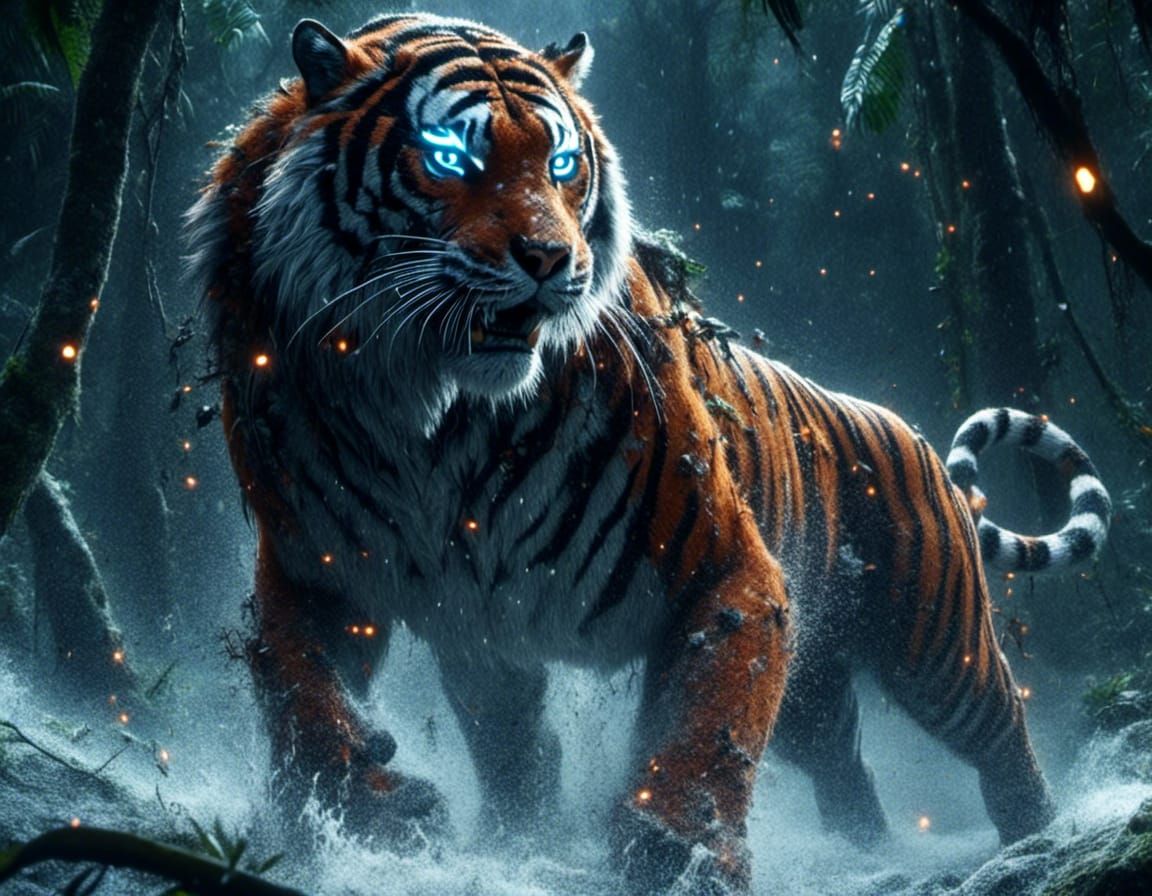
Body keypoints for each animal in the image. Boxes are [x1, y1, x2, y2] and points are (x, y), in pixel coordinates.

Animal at [185, 13, 1111, 894]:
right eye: (450, 157)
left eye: (562, 162)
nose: (549, 260)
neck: (435, 422)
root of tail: (914, 438)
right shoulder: (318, 570)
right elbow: (299, 694)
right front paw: (380, 816)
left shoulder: (727, 571)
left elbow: (703, 733)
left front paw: (681, 859)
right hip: (814, 690)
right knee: (844, 770)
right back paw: (864, 851)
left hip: (935, 644)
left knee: (1002, 729)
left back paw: (1038, 836)